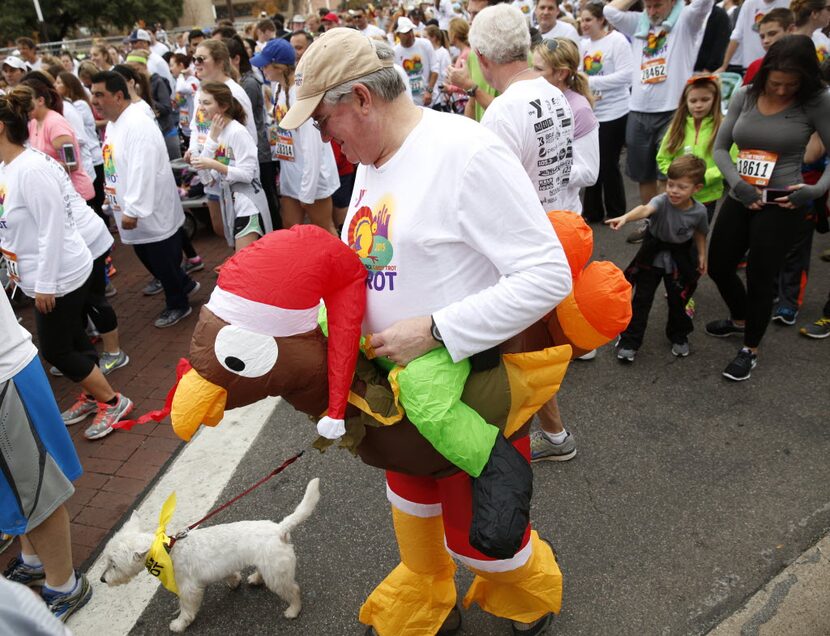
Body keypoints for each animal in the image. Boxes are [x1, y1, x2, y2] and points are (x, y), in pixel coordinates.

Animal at [101, 476, 322, 632]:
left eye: (113, 564)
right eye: (107, 561)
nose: (103, 579)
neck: (168, 551)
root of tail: (279, 529)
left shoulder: (188, 589)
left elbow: (186, 609)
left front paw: (179, 624)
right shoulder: (218, 569)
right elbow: (231, 575)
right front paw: (234, 582)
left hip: (277, 574)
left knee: (293, 590)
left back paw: (293, 610)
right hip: (269, 565)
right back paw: (255, 578)